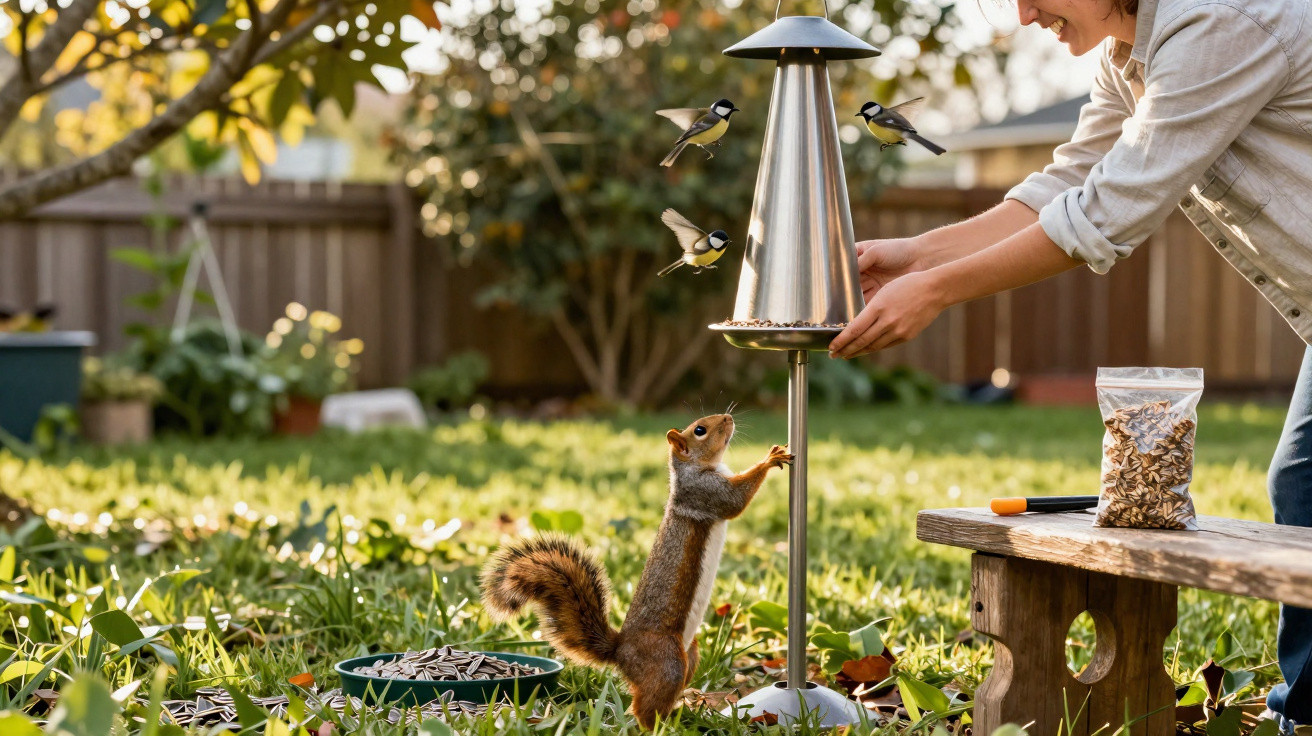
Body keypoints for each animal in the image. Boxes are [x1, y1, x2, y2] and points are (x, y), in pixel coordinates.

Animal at [481, 413, 791, 729]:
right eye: (700, 430)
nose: (728, 417)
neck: (697, 467)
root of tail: (621, 652)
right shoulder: (704, 492)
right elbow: (735, 500)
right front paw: (771, 458)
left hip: (689, 654)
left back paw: (680, 716)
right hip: (667, 661)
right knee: (643, 707)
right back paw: (660, 726)